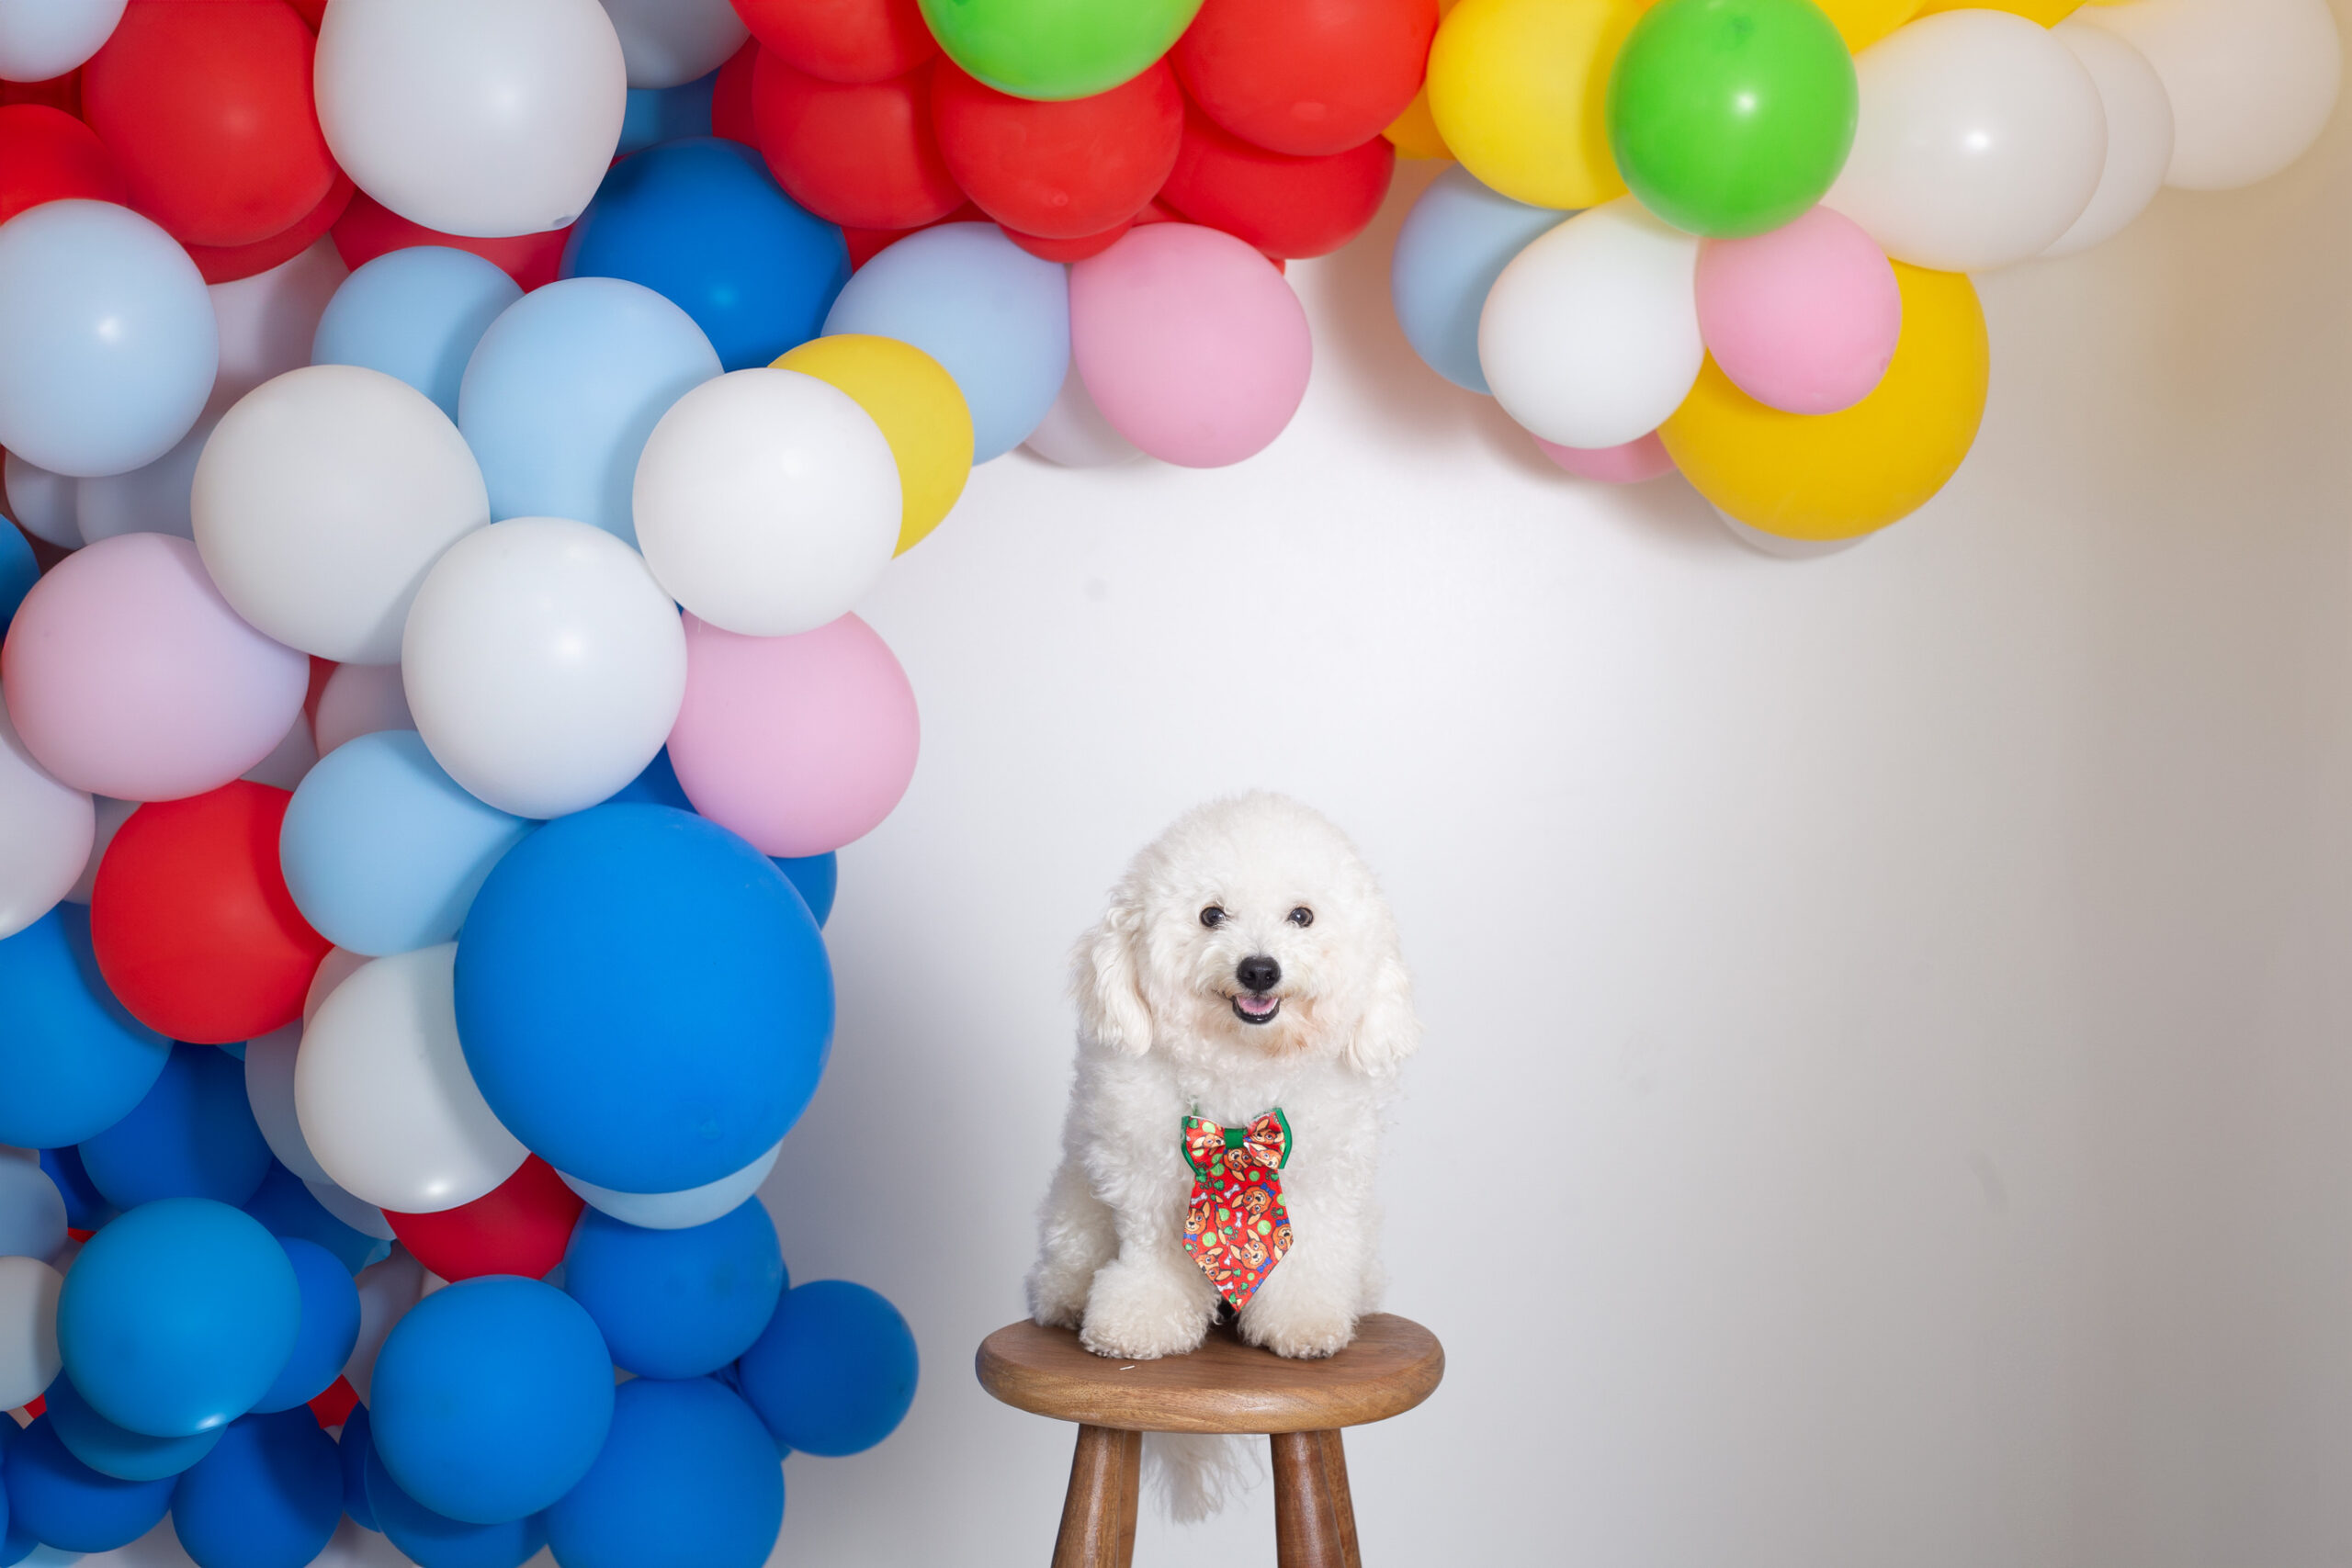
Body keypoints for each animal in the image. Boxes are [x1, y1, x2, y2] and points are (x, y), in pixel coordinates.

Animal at [1030, 799, 1411, 1372]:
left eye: (1302, 916)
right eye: (1211, 915)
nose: (1259, 969)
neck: (1241, 1065)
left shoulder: (1324, 1182)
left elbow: (1309, 1253)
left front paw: (1303, 1319)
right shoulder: (1145, 1182)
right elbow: (1155, 1252)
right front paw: (1139, 1320)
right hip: (1076, 1201)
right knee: (1068, 1255)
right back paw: (1065, 1296)